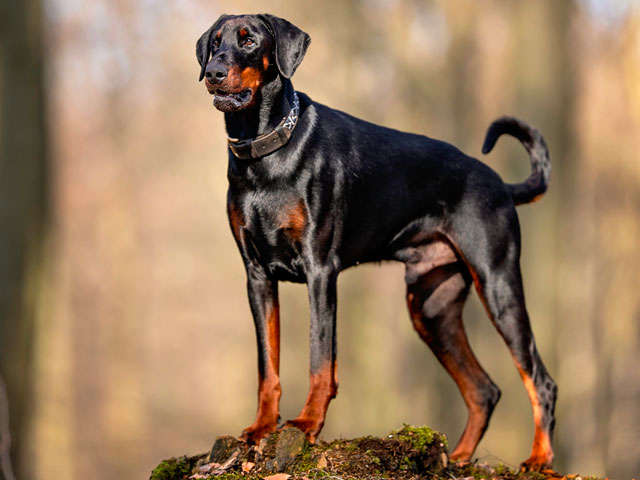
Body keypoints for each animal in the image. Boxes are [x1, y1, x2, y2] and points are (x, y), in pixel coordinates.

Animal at [198, 13, 556, 470]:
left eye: (249, 40)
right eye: (214, 42)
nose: (213, 73)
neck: (266, 154)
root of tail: (501, 185)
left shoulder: (320, 271)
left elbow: (320, 357)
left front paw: (307, 424)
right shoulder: (257, 276)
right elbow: (267, 364)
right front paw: (262, 427)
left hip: (497, 284)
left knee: (540, 380)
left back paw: (539, 459)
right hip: (430, 307)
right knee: (483, 389)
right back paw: (455, 458)